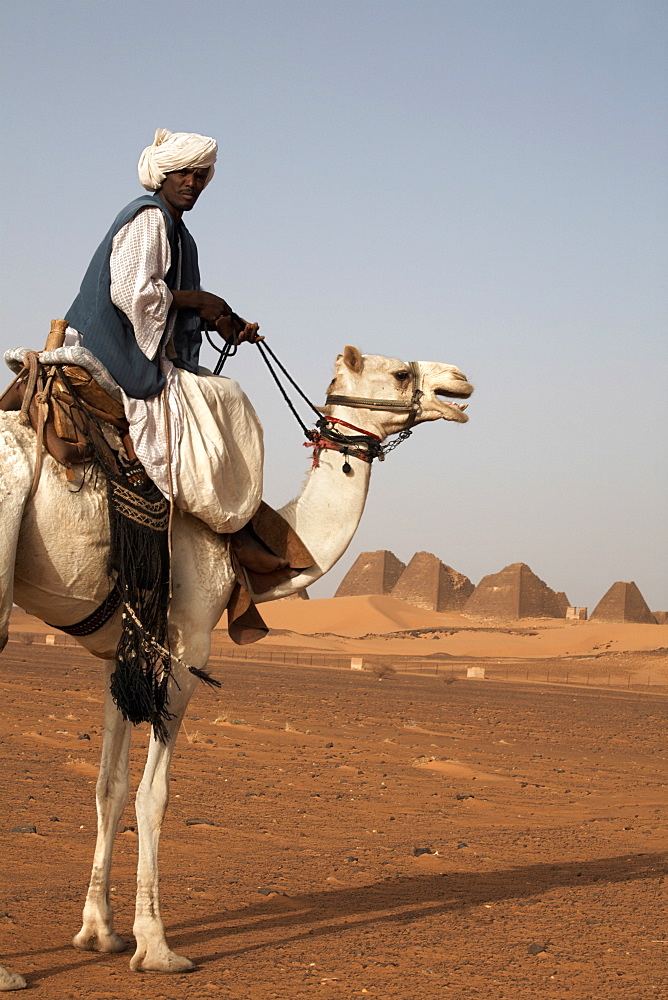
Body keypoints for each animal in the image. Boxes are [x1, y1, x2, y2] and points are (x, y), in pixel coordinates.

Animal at [0, 348, 472, 988]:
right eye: (400, 372)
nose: (460, 382)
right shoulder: (188, 645)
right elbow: (154, 794)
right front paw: (157, 947)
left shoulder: (120, 658)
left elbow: (109, 787)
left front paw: (100, 933)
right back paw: (8, 972)